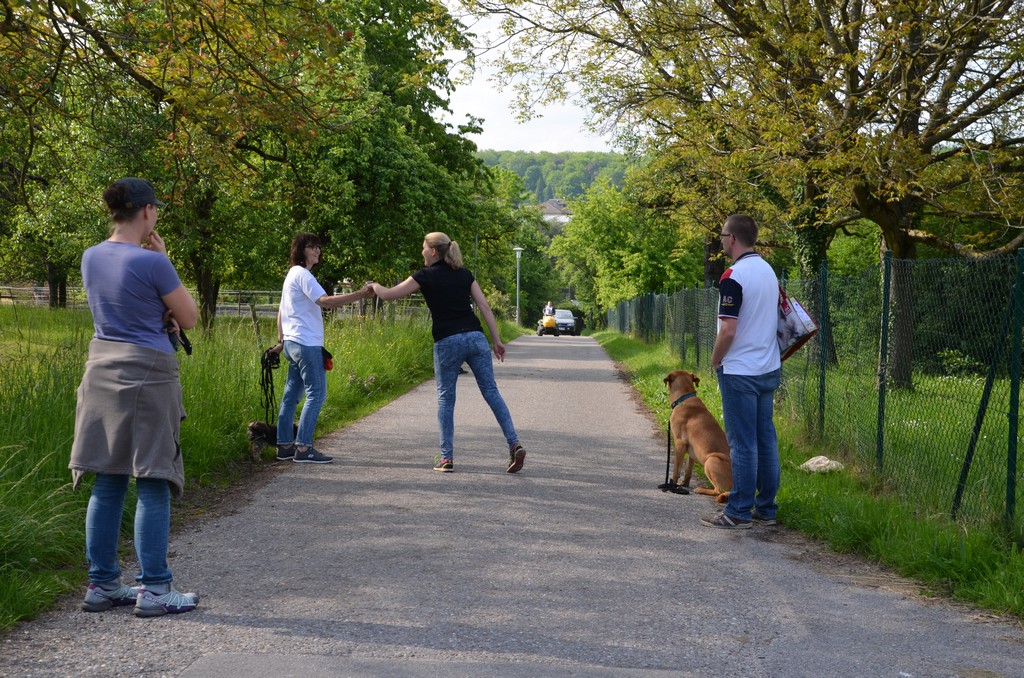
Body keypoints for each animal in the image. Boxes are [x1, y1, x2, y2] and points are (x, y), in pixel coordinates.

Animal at [667, 372, 733, 503]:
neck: (684, 397)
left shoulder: (679, 443)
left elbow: (676, 469)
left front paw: (673, 484)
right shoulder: (691, 451)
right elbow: (688, 470)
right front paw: (684, 484)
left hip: (711, 460)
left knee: (718, 491)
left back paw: (701, 489)